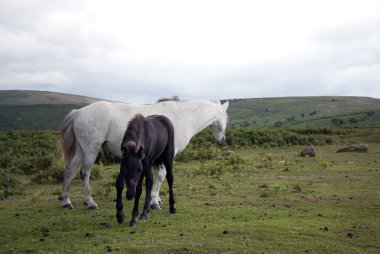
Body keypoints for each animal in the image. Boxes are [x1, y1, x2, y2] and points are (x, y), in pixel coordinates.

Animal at [59, 98, 229, 209]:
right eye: (227, 117)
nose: (222, 141)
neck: (181, 117)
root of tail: (78, 113)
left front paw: (156, 199)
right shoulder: (168, 155)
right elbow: (161, 176)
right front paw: (154, 202)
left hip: (81, 150)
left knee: (70, 171)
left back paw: (66, 201)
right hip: (91, 149)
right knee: (84, 173)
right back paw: (90, 202)